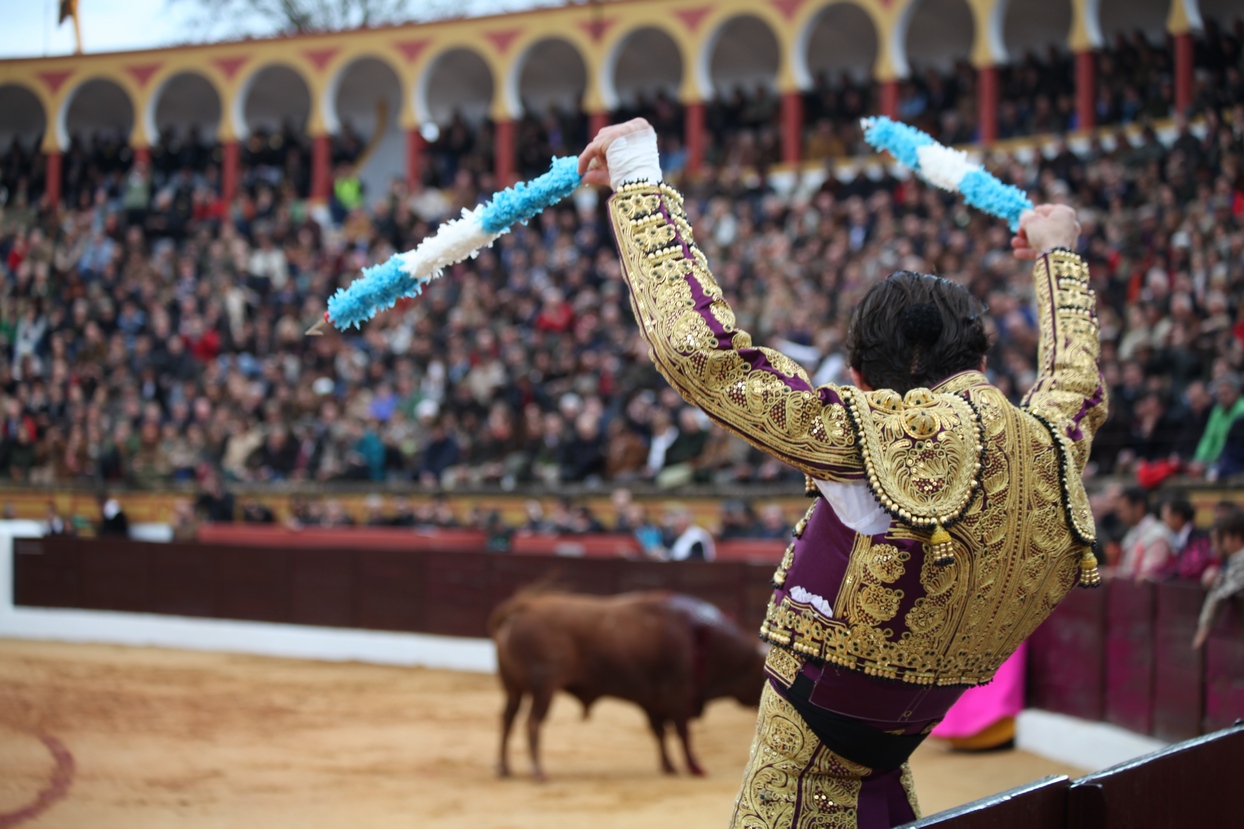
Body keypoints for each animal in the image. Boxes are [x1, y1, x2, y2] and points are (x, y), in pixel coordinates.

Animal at [487, 587, 761, 776]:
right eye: (760, 675)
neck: (700, 638)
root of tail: (525, 606)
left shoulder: (652, 701)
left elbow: (660, 733)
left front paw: (669, 767)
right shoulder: (678, 697)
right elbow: (683, 734)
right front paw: (695, 768)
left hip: (513, 689)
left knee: (507, 718)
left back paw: (504, 768)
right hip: (544, 688)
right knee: (532, 723)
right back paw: (538, 772)